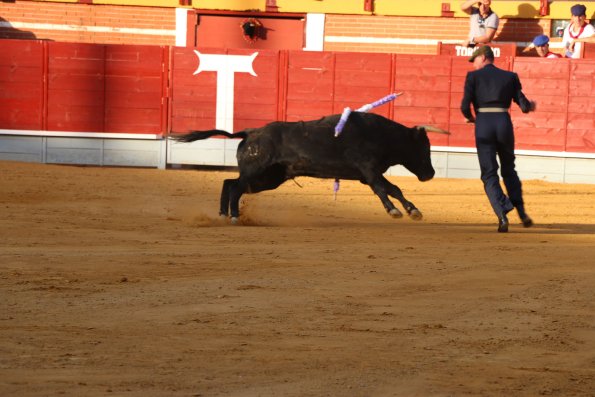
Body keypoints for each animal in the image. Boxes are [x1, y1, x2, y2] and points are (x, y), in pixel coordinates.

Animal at [171, 111, 448, 223]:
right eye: (423, 147)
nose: (430, 174)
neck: (382, 134)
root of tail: (250, 132)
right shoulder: (369, 171)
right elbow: (383, 190)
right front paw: (394, 211)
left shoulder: (366, 175)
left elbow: (394, 189)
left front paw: (414, 211)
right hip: (257, 172)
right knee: (235, 187)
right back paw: (235, 216)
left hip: (267, 179)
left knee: (229, 183)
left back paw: (222, 215)